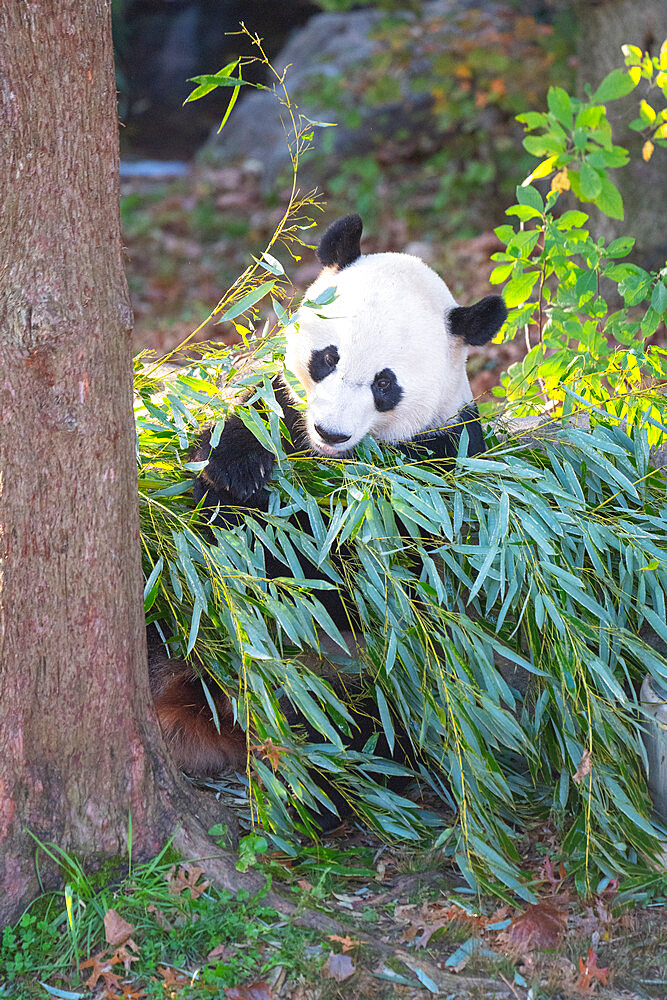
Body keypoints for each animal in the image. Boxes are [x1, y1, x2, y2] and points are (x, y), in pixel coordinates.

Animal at [150, 213, 506, 828]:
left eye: (385, 383)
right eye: (327, 358)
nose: (332, 432)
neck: (332, 463)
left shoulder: (437, 466)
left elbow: (371, 574)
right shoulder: (280, 407)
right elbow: (224, 459)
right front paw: (239, 481)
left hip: (370, 680)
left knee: (369, 729)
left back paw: (320, 791)